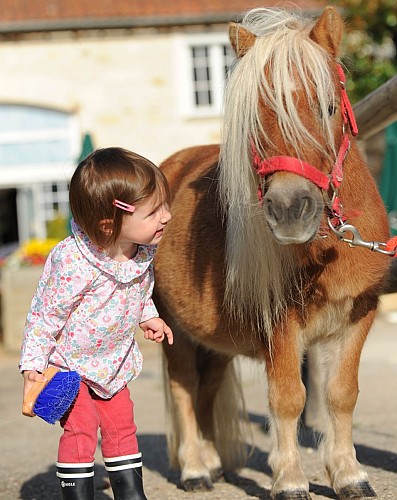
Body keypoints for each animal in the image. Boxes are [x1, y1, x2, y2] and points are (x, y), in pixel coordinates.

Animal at [152, 5, 390, 498]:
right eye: (255, 119)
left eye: (329, 107)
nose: (289, 209)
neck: (329, 251)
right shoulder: (280, 325)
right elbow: (288, 398)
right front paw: (291, 479)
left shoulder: (358, 314)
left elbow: (341, 394)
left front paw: (349, 474)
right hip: (175, 332)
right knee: (184, 388)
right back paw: (195, 469)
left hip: (215, 343)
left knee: (206, 391)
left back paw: (214, 462)